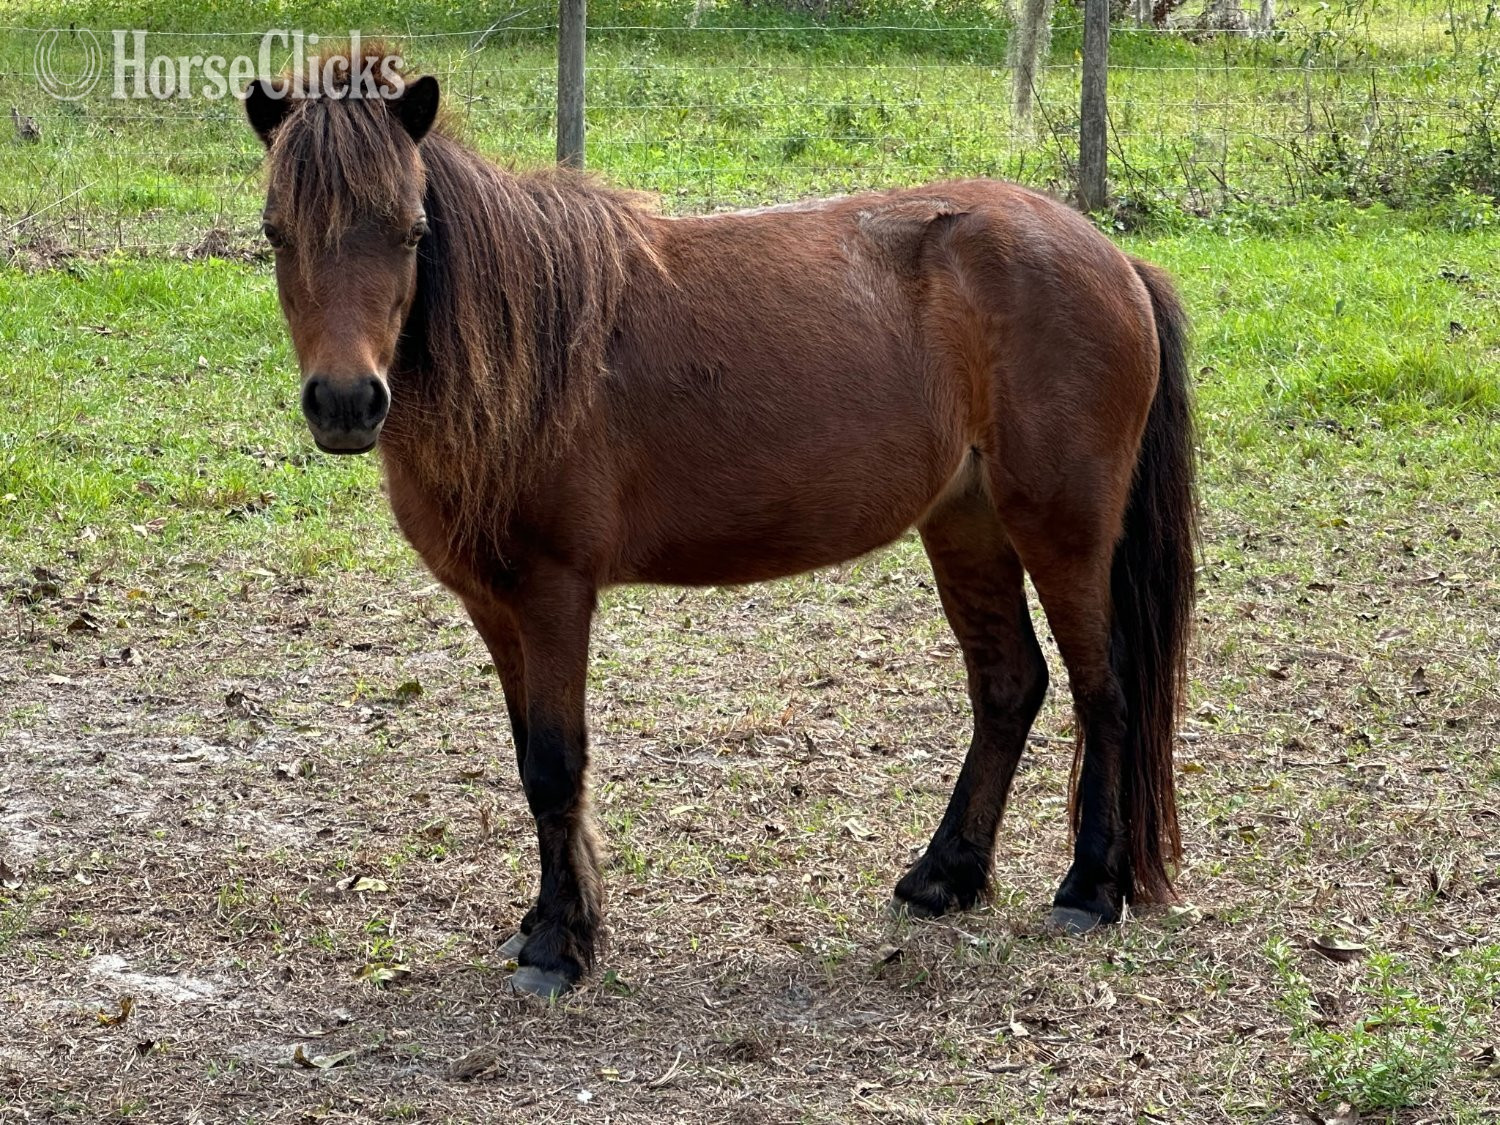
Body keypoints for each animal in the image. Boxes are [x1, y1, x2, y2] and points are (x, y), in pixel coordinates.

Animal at [244, 50, 1198, 997]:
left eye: (410, 231)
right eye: (276, 234)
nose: (345, 403)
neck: (528, 349)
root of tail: (1115, 258)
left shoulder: (554, 595)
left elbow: (556, 763)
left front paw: (560, 943)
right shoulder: (493, 603)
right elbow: (530, 763)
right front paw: (547, 918)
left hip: (1061, 527)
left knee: (1104, 689)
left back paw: (1089, 888)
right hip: (966, 524)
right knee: (1009, 684)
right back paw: (943, 876)